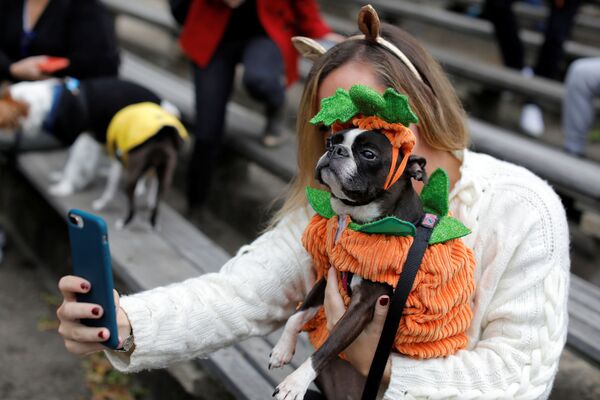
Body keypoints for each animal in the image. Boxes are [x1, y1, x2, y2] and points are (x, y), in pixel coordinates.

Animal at [0, 78, 188, 228]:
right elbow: (75, 162)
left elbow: (73, 164)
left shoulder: (83, 137)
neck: (51, 103)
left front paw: (64, 186)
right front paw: (67, 178)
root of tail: (163, 104)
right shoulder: (90, 139)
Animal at [268, 128, 474, 400]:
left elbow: (327, 347)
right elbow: (297, 315)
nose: (335, 150)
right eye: (330, 141)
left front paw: (294, 382)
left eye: (368, 154)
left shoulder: (363, 305)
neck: (361, 223)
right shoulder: (329, 275)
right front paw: (283, 348)